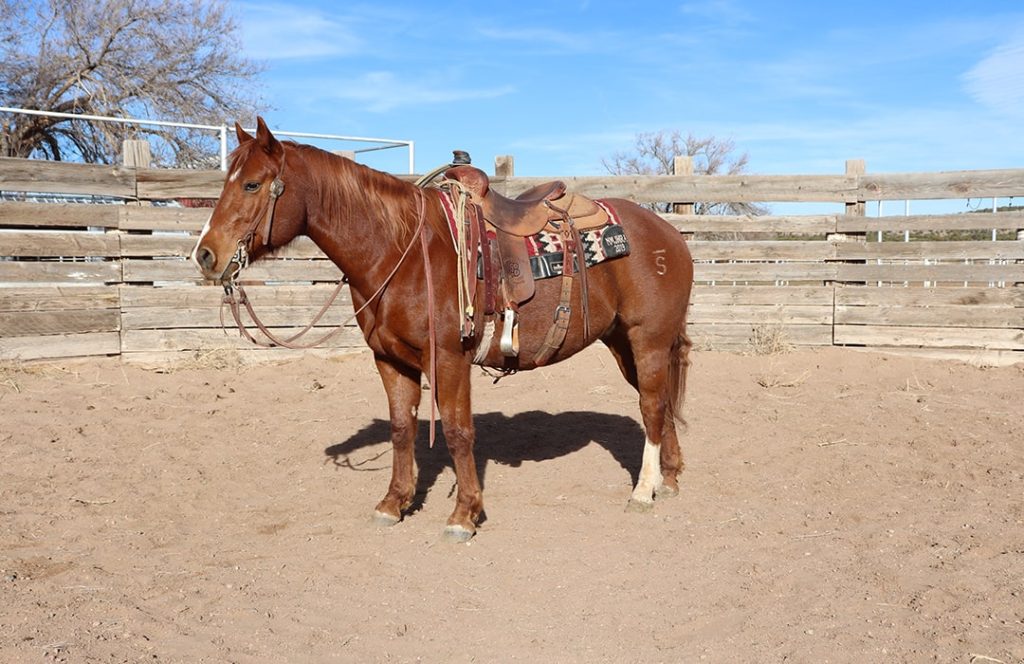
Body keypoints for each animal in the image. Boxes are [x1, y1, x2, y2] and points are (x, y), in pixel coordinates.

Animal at [192, 117, 694, 542]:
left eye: (253, 183)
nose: (206, 255)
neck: (401, 251)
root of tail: (669, 234)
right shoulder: (389, 360)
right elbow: (401, 428)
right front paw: (394, 503)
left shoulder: (450, 358)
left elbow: (456, 431)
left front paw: (464, 514)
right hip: (623, 343)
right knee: (660, 402)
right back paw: (668, 480)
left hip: (648, 340)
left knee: (651, 406)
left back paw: (643, 491)